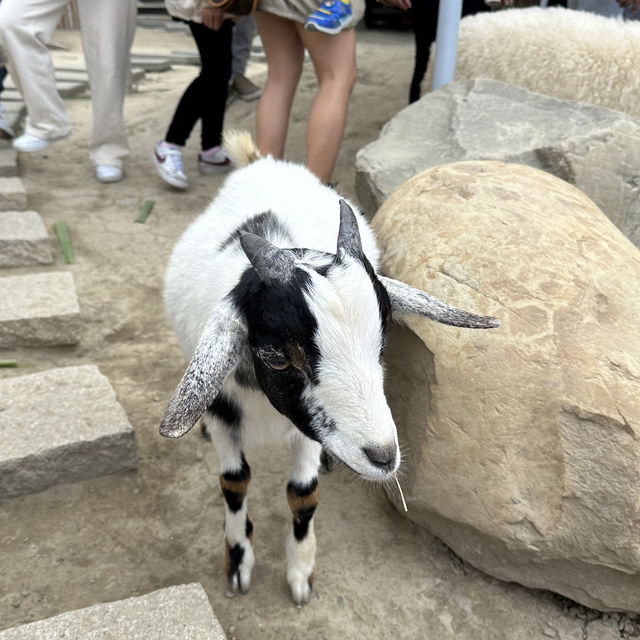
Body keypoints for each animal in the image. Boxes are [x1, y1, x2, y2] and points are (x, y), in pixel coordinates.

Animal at [159, 131, 500, 604]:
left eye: (383, 338)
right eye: (278, 356)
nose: (384, 456)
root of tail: (264, 161)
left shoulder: (309, 427)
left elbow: (302, 494)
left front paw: (301, 573)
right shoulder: (225, 408)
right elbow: (234, 483)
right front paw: (238, 561)